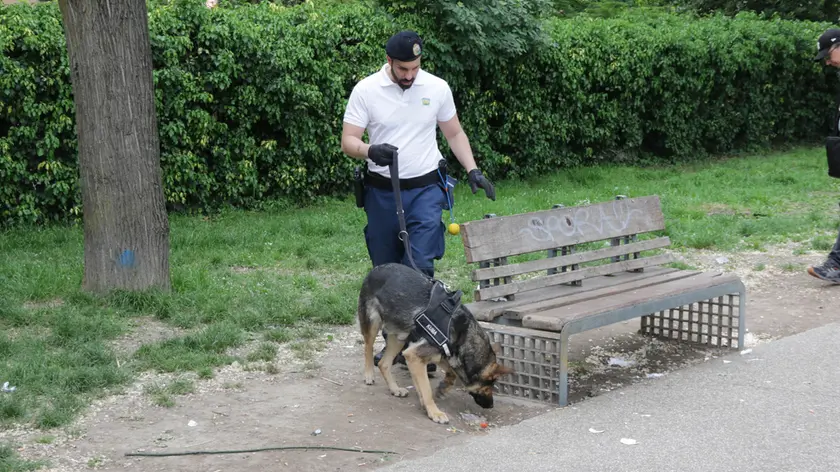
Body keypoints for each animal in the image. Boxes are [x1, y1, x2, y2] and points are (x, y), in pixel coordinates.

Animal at [356, 262, 512, 424]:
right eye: (489, 385)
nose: (491, 405)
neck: (462, 335)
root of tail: (378, 268)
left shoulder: (439, 355)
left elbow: (450, 373)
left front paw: (442, 389)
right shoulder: (414, 356)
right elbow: (426, 390)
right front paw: (434, 412)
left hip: (399, 337)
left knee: (384, 363)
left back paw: (395, 389)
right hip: (373, 324)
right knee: (368, 348)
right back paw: (369, 375)